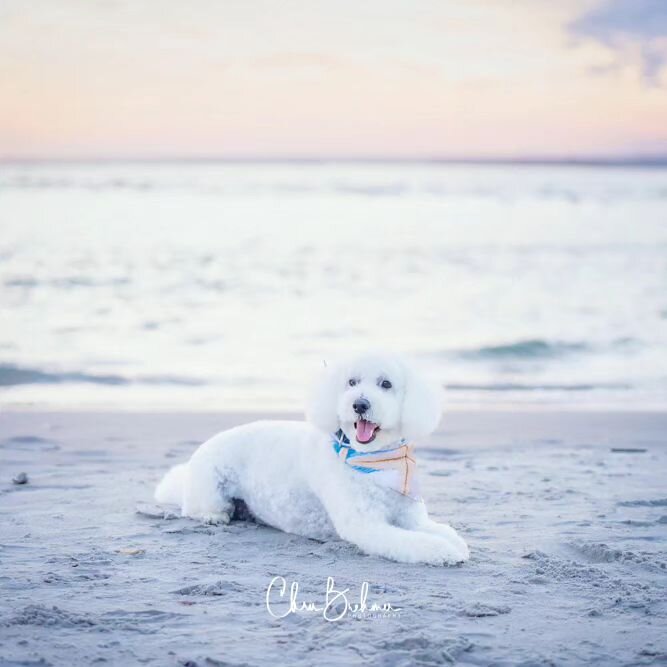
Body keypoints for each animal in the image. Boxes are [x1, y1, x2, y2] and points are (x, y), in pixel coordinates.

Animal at [156, 352, 470, 568]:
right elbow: (413, 542)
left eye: (386, 384)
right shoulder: (367, 526)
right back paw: (212, 516)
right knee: (196, 508)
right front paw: (441, 551)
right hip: (209, 487)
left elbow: (440, 530)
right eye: (351, 382)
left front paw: (454, 541)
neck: (376, 461)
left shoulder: (410, 516)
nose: (359, 404)